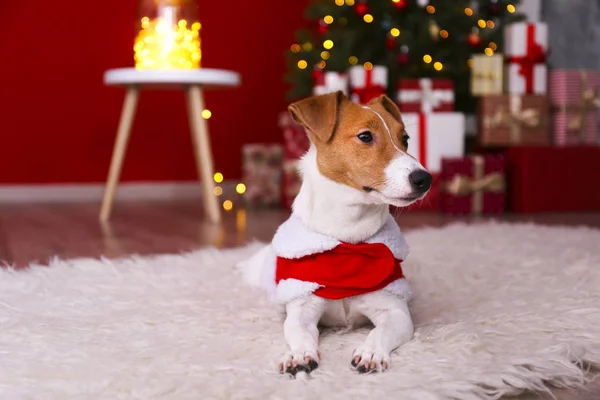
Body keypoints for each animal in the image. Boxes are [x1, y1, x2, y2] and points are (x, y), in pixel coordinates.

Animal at [239, 90, 432, 376]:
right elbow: (299, 333)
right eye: (365, 136)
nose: (425, 179)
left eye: (405, 138)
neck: (348, 236)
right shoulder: (302, 309)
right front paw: (298, 354)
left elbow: (380, 332)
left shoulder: (395, 312)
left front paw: (371, 352)